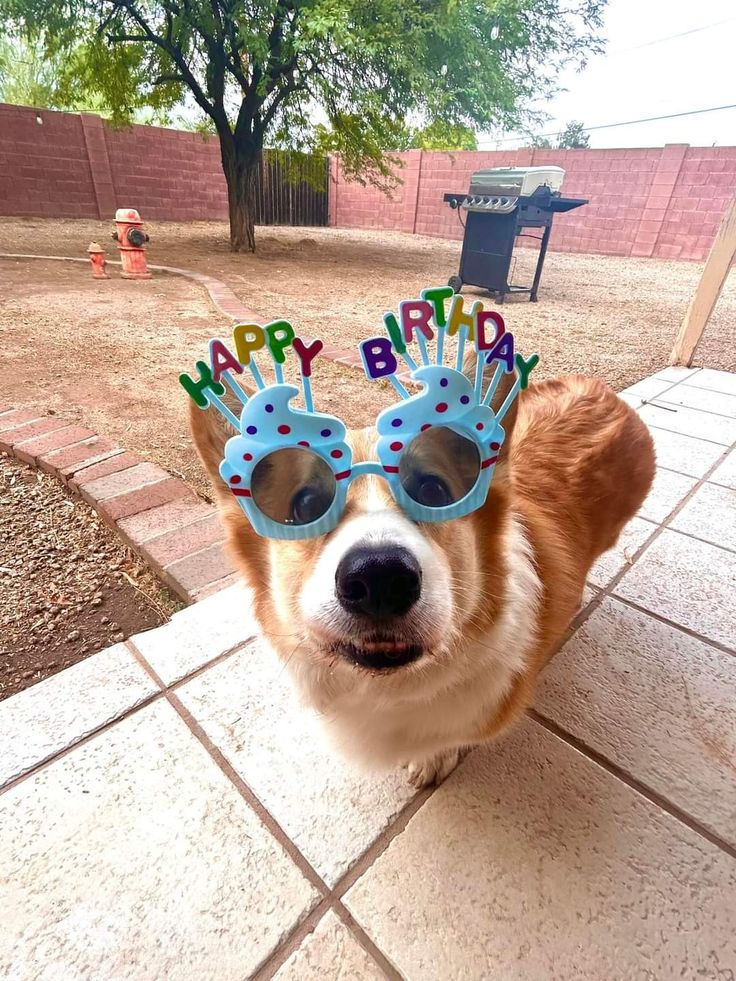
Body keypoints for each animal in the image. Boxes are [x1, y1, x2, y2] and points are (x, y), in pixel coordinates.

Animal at [191, 364, 656, 784]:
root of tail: (597, 388)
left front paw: (432, 760)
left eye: (433, 491)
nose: (379, 579)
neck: (390, 688)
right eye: (305, 505)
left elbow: (446, 741)